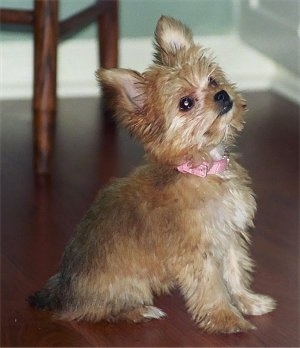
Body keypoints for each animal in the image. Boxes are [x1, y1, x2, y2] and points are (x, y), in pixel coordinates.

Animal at [29, 14, 276, 334]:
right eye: (186, 103)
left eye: (212, 80)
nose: (222, 94)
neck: (201, 168)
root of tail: (61, 291)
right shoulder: (199, 254)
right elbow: (212, 289)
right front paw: (227, 319)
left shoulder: (229, 237)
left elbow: (235, 273)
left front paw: (248, 301)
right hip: (128, 286)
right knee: (97, 311)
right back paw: (142, 311)